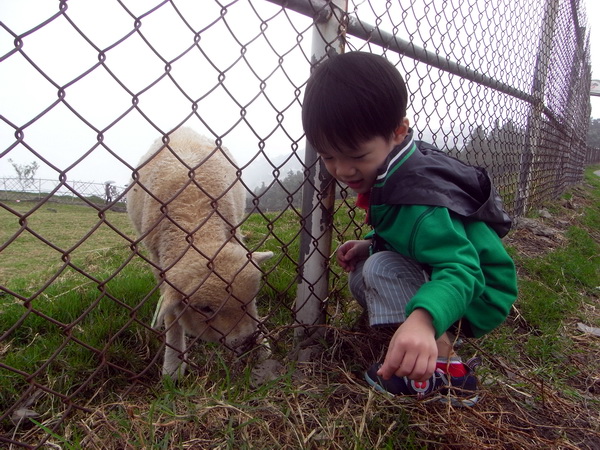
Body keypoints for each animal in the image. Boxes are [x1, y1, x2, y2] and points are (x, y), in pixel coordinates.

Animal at [130, 126, 276, 380]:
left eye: (251, 298)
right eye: (205, 309)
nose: (246, 340)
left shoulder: (233, 232)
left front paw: (262, 346)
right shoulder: (160, 264)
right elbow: (172, 318)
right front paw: (173, 368)